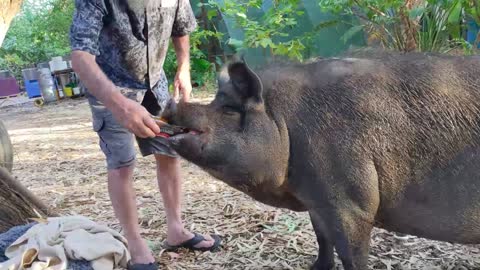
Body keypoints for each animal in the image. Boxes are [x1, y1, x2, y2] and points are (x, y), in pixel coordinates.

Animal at [160, 51, 480, 270]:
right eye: (215, 100)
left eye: (228, 108)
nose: (169, 104)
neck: (285, 123)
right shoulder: (317, 198)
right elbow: (321, 237)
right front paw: (315, 267)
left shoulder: (351, 202)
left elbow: (351, 253)